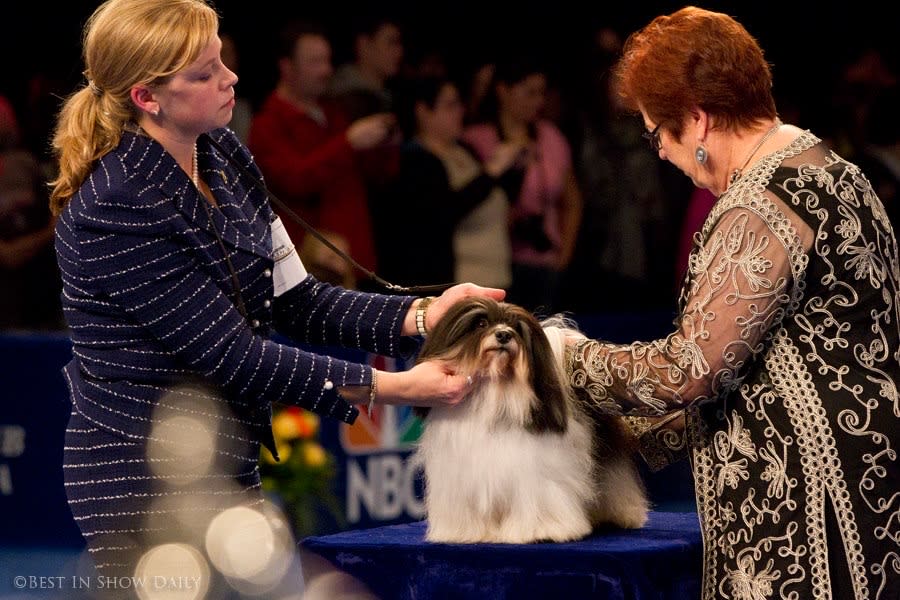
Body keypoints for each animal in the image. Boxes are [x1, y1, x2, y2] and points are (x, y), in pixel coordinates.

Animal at [414, 296, 648, 544]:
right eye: (481, 324)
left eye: (516, 328)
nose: (504, 334)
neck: (495, 396)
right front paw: (467, 533)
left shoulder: (536, 477)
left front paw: (541, 531)